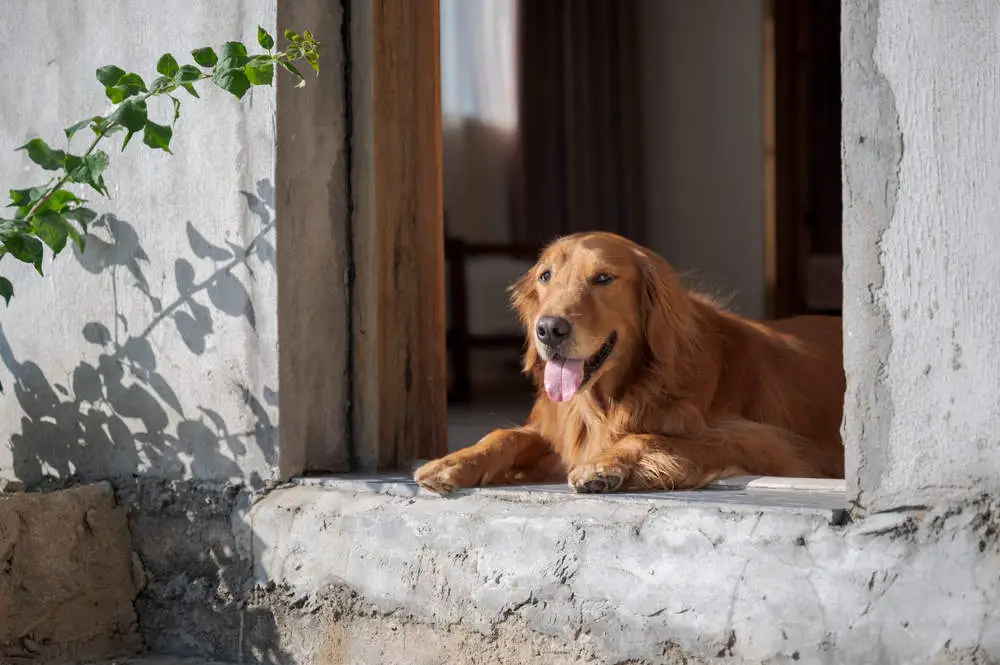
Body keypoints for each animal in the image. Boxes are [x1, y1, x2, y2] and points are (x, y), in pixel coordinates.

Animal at [414, 232, 844, 492]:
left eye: (604, 278)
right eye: (546, 276)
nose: (549, 329)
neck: (611, 400)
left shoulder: (771, 443)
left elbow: (651, 436)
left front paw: (604, 465)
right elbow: (506, 434)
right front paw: (454, 461)